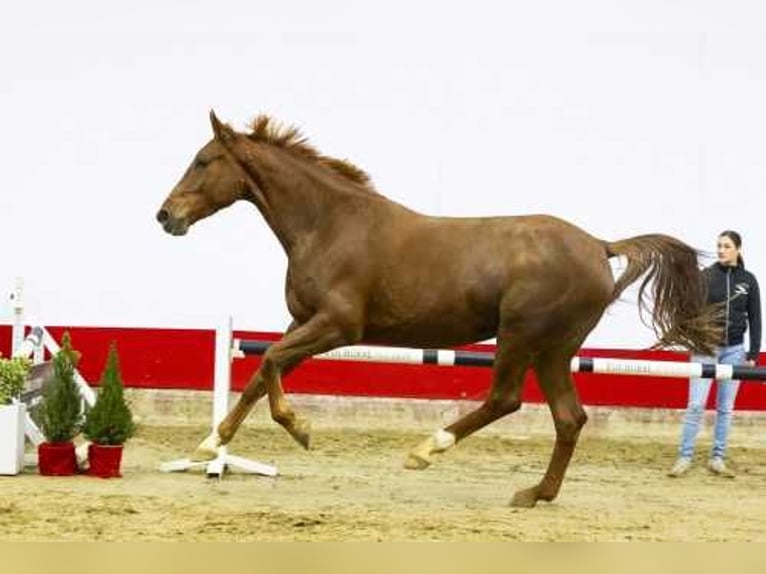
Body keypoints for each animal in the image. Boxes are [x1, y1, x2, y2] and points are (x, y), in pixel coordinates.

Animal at [156, 112, 720, 508]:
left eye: (203, 160)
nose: (165, 216)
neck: (330, 225)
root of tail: (600, 246)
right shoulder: (304, 321)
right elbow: (259, 373)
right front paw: (210, 445)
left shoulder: (338, 325)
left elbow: (270, 362)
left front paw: (300, 429)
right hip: (554, 349)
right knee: (569, 418)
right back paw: (535, 494)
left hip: (521, 335)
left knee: (506, 400)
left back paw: (427, 450)